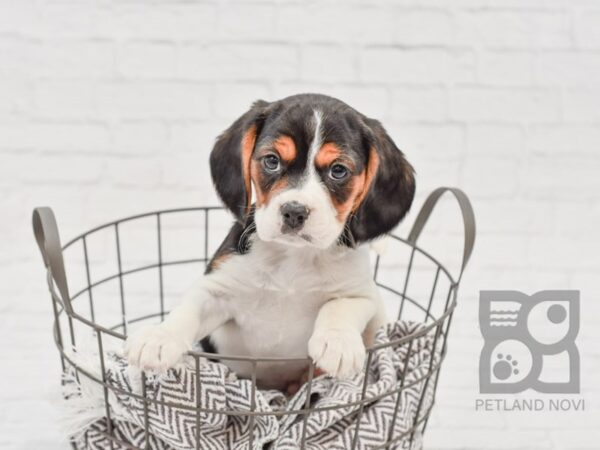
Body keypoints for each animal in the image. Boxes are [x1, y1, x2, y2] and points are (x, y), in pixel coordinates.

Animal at [124, 93, 414, 388]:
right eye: (272, 161)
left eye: (338, 170)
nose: (295, 211)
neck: (294, 257)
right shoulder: (218, 289)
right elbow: (188, 310)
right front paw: (159, 337)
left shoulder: (362, 294)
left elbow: (340, 306)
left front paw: (337, 343)